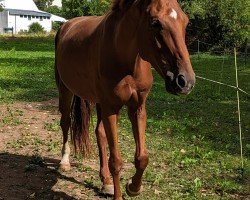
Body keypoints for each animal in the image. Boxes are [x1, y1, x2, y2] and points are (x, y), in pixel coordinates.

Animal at [54, 0, 195, 198]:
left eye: (186, 22)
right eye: (155, 23)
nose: (185, 82)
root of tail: (66, 25)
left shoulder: (137, 108)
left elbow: (142, 157)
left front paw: (133, 187)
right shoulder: (111, 108)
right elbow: (116, 161)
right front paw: (119, 194)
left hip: (100, 103)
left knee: (100, 133)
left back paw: (105, 181)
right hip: (66, 91)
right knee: (65, 122)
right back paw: (65, 161)